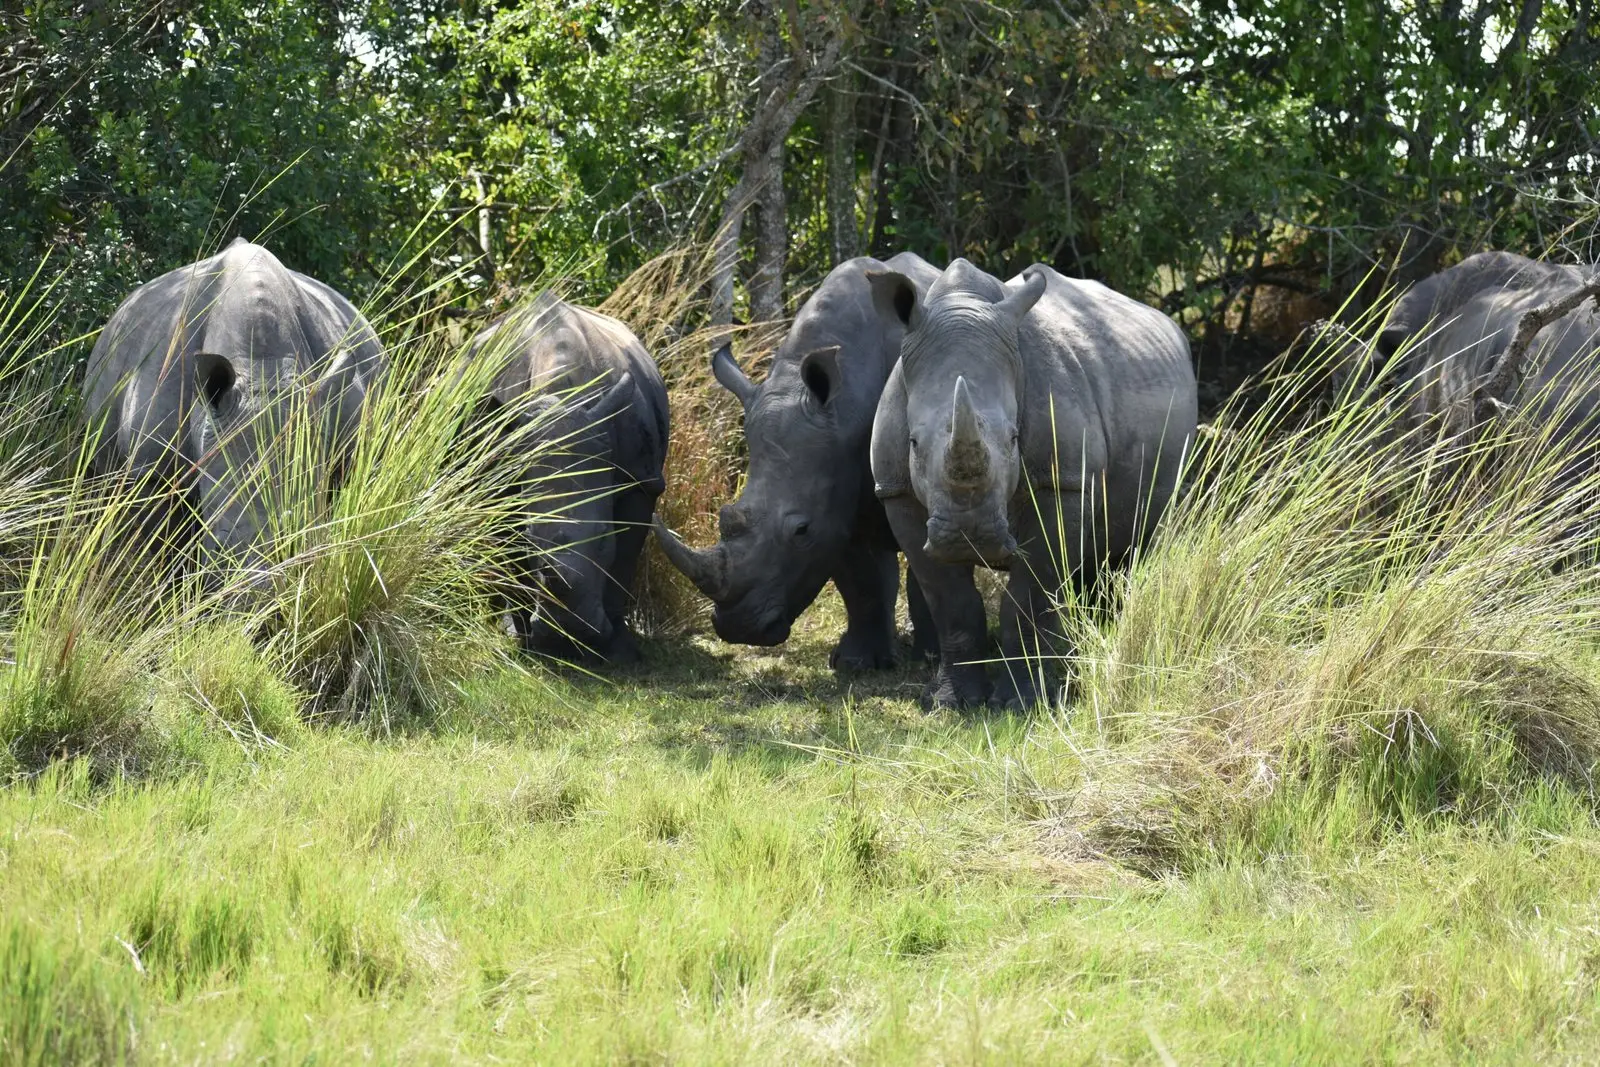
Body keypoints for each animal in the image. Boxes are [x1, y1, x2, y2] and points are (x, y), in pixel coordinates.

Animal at [469, 292, 668, 662]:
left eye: (604, 537)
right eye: (531, 540)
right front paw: (524, 641)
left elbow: (625, 560)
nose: (569, 633)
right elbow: (511, 550)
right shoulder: (501, 478)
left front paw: (621, 651)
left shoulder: (641, 480)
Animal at [652, 252, 942, 670]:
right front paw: (854, 665)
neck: (848, 403)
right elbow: (860, 581)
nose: (740, 629)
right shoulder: (836, 489)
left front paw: (932, 659)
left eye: (801, 531)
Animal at [867, 259, 1198, 709]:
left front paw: (1026, 703)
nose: (968, 536)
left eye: (1013, 439)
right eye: (914, 443)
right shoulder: (896, 490)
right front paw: (951, 703)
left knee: (1128, 550)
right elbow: (951, 604)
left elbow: (1028, 600)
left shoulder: (1062, 482)